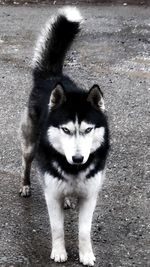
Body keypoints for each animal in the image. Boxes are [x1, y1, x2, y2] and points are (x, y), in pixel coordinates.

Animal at [19, 6, 109, 266]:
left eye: (88, 129)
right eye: (66, 130)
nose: (78, 159)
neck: (73, 170)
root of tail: (51, 76)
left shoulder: (90, 196)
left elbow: (84, 230)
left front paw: (86, 254)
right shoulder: (51, 194)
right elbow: (57, 228)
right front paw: (59, 252)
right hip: (30, 146)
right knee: (26, 163)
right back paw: (25, 185)